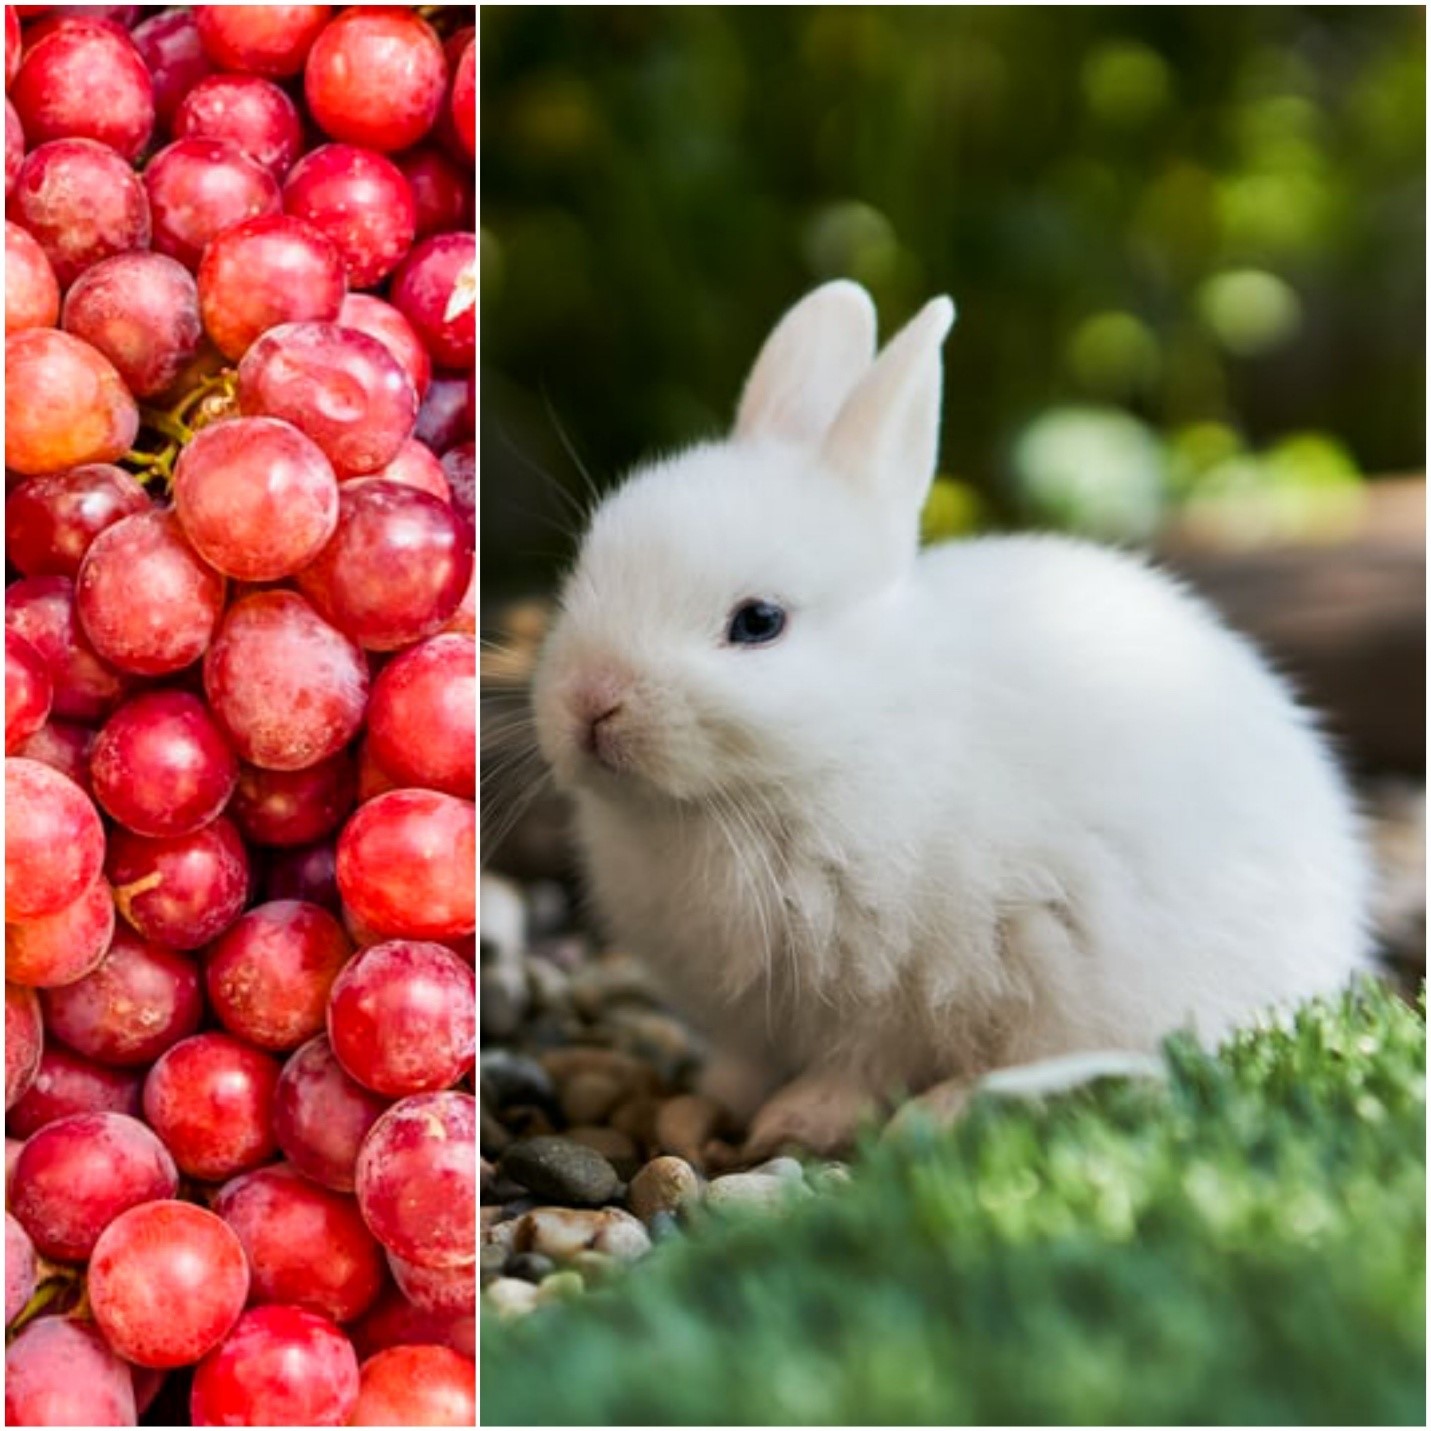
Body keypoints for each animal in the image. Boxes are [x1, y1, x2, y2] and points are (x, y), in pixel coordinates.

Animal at [530, 280, 1374, 1158]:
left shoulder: (895, 992)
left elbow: (858, 1065)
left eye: (758, 621)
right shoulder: (749, 1021)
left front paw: (798, 1120)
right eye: (586, 570)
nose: (591, 700)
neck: (843, 738)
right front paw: (707, 1101)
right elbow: (741, 1063)